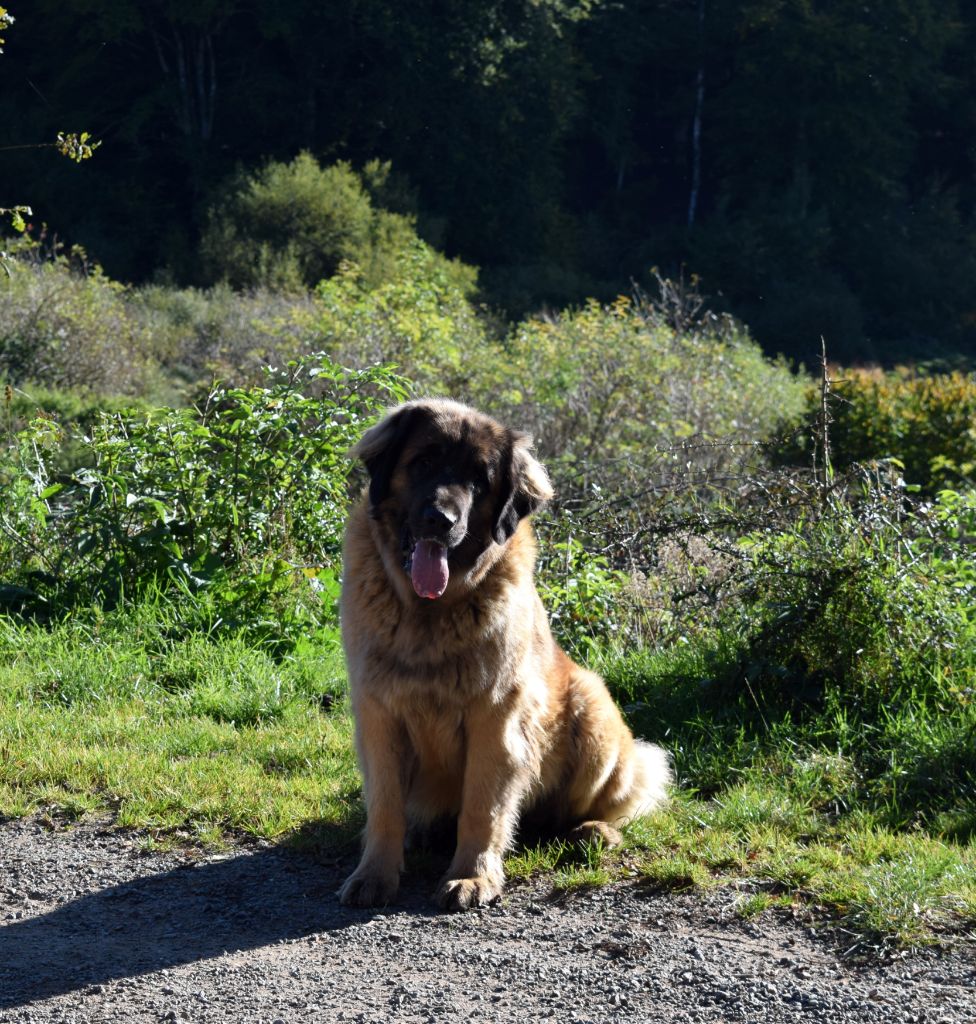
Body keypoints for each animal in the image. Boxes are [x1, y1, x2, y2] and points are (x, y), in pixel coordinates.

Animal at [337, 399, 671, 913]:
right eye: (424, 461)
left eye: (479, 480)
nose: (441, 519)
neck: (429, 614)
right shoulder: (379, 714)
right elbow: (386, 806)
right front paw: (374, 873)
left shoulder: (495, 717)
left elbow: (483, 807)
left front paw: (472, 877)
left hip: (591, 709)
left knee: (610, 804)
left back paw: (593, 831)